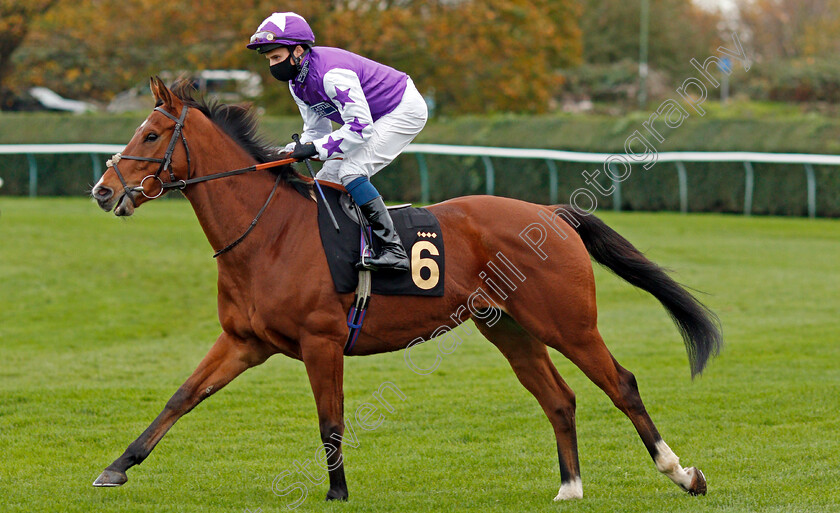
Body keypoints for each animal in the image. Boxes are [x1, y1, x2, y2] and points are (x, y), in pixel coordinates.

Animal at [92, 78, 720, 502]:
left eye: (151, 134)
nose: (102, 191)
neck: (268, 234)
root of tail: (550, 213)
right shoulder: (244, 341)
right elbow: (181, 397)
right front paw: (116, 466)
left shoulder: (321, 342)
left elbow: (331, 421)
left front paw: (337, 493)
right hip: (508, 327)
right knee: (559, 398)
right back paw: (569, 488)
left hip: (568, 322)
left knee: (622, 384)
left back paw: (682, 473)